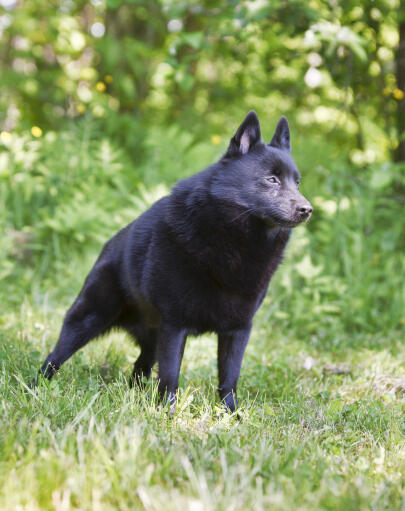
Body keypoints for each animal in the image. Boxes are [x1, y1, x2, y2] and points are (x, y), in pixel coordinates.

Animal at [38, 112, 310, 412]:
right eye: (272, 179)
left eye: (297, 183)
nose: (307, 209)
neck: (232, 239)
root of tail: (111, 243)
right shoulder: (175, 326)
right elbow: (170, 378)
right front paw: (168, 414)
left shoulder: (237, 330)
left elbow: (229, 378)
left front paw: (231, 414)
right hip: (88, 317)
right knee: (54, 356)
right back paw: (37, 386)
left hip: (151, 339)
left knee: (140, 367)